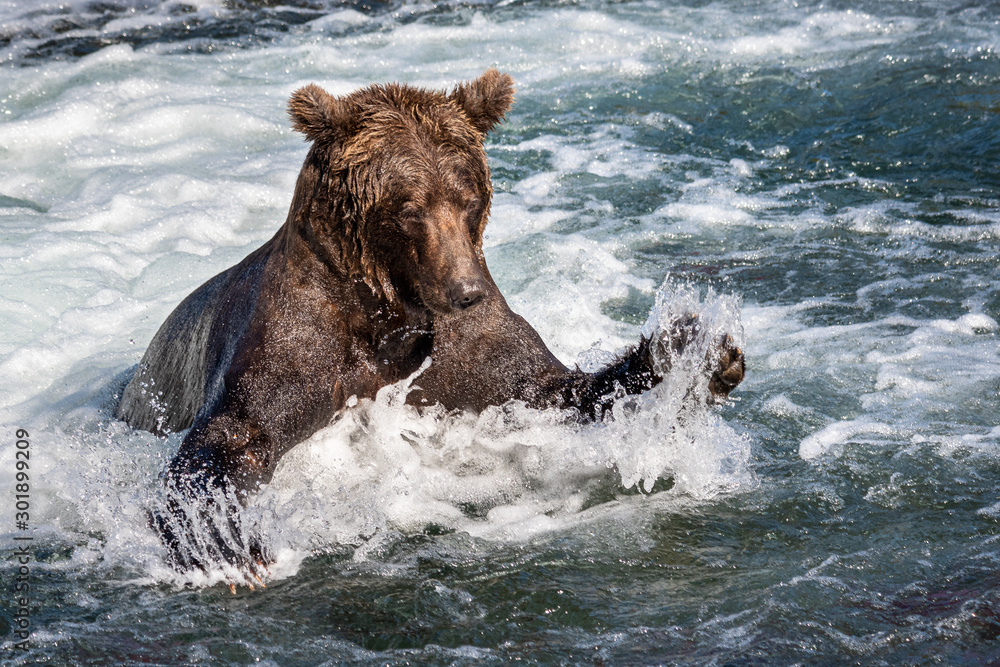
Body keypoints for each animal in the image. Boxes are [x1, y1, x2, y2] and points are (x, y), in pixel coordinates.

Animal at [116, 69, 745, 579]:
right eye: (409, 208)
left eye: (468, 197)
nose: (464, 292)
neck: (389, 314)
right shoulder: (298, 340)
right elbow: (239, 433)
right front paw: (221, 539)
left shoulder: (468, 355)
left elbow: (552, 390)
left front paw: (695, 351)